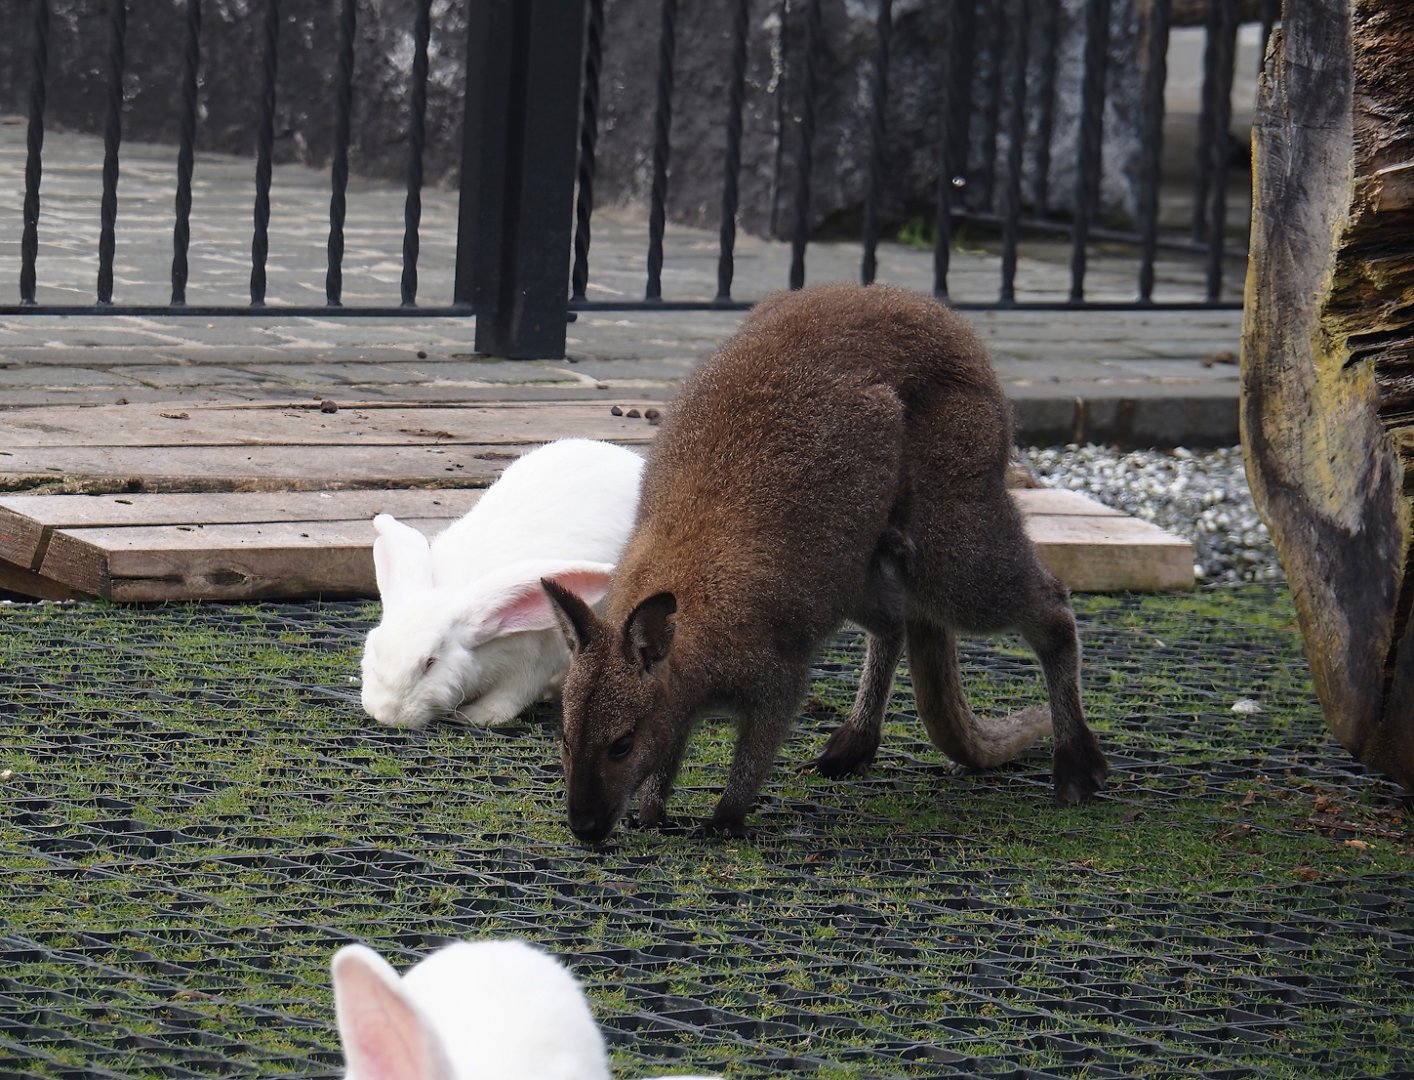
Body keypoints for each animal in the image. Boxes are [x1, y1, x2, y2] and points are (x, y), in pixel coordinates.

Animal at [360, 438, 644, 729]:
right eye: (376, 648)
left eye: (430, 662)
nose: (386, 714)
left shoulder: (535, 659)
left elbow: (511, 696)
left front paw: (476, 715)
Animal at [543, 283, 1108, 844]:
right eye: (565, 739)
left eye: (621, 745)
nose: (584, 828)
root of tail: (930, 308)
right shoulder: (678, 700)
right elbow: (670, 747)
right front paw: (652, 811)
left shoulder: (776, 673)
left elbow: (759, 744)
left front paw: (724, 819)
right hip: (852, 569)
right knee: (896, 622)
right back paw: (850, 748)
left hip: (949, 524)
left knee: (1050, 604)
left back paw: (1077, 768)